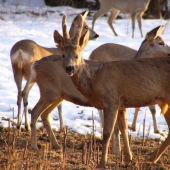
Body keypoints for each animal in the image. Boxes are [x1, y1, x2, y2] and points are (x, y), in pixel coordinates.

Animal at [54, 13, 170, 169]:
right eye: (62, 55)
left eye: (77, 55)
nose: (69, 68)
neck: (95, 79)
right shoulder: (121, 104)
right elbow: (123, 129)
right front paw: (128, 158)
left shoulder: (111, 101)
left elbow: (107, 133)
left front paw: (102, 163)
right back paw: (151, 159)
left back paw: (151, 159)